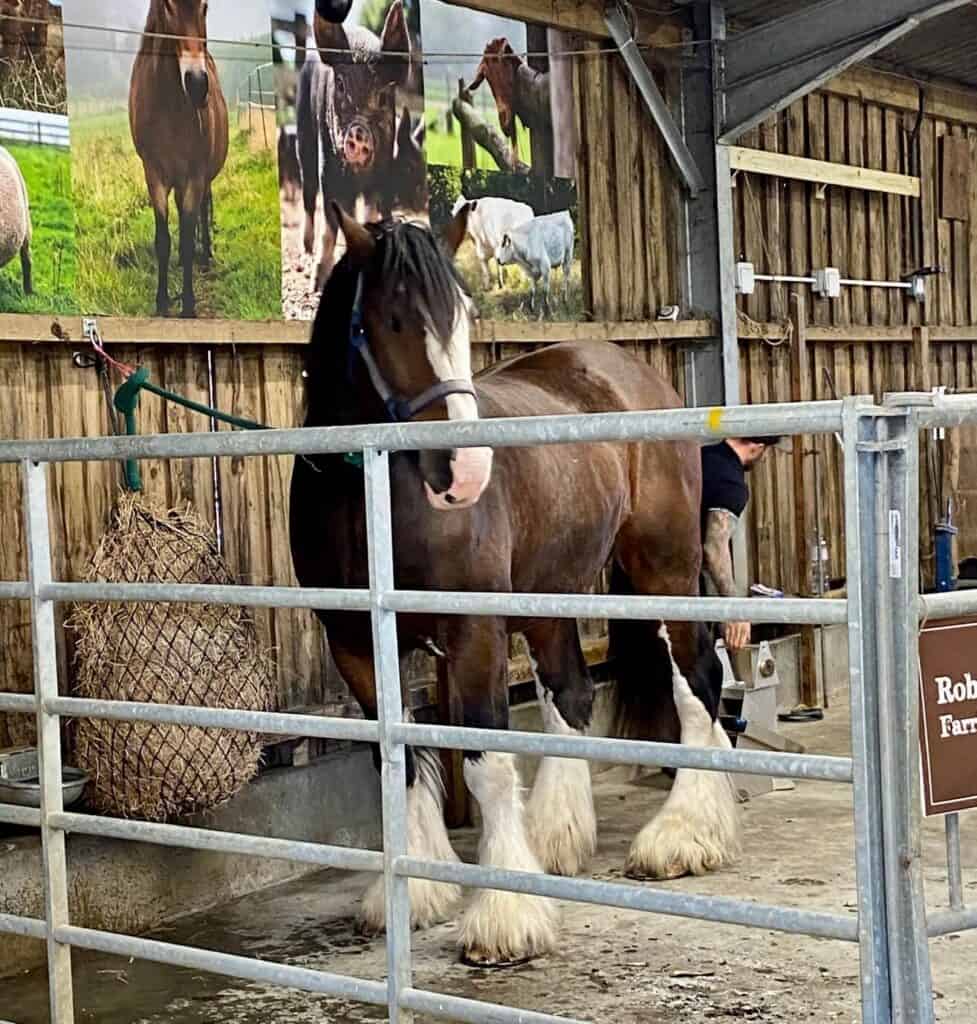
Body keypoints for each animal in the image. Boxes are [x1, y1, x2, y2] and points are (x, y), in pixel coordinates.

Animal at [129, 0, 229, 318]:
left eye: (206, 5)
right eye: (167, 6)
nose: (197, 83)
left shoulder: (195, 174)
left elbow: (185, 236)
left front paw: (188, 305)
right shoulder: (154, 173)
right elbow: (164, 239)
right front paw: (162, 302)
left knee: (203, 208)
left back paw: (205, 254)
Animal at [289, 203, 740, 967]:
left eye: (465, 316)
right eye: (389, 319)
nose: (466, 473)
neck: (370, 498)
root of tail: (629, 370)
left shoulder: (472, 631)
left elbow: (486, 762)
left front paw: (504, 915)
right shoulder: (355, 643)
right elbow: (396, 757)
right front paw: (417, 892)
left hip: (664, 567)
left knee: (696, 680)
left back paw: (683, 835)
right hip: (550, 592)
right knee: (572, 692)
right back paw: (557, 840)